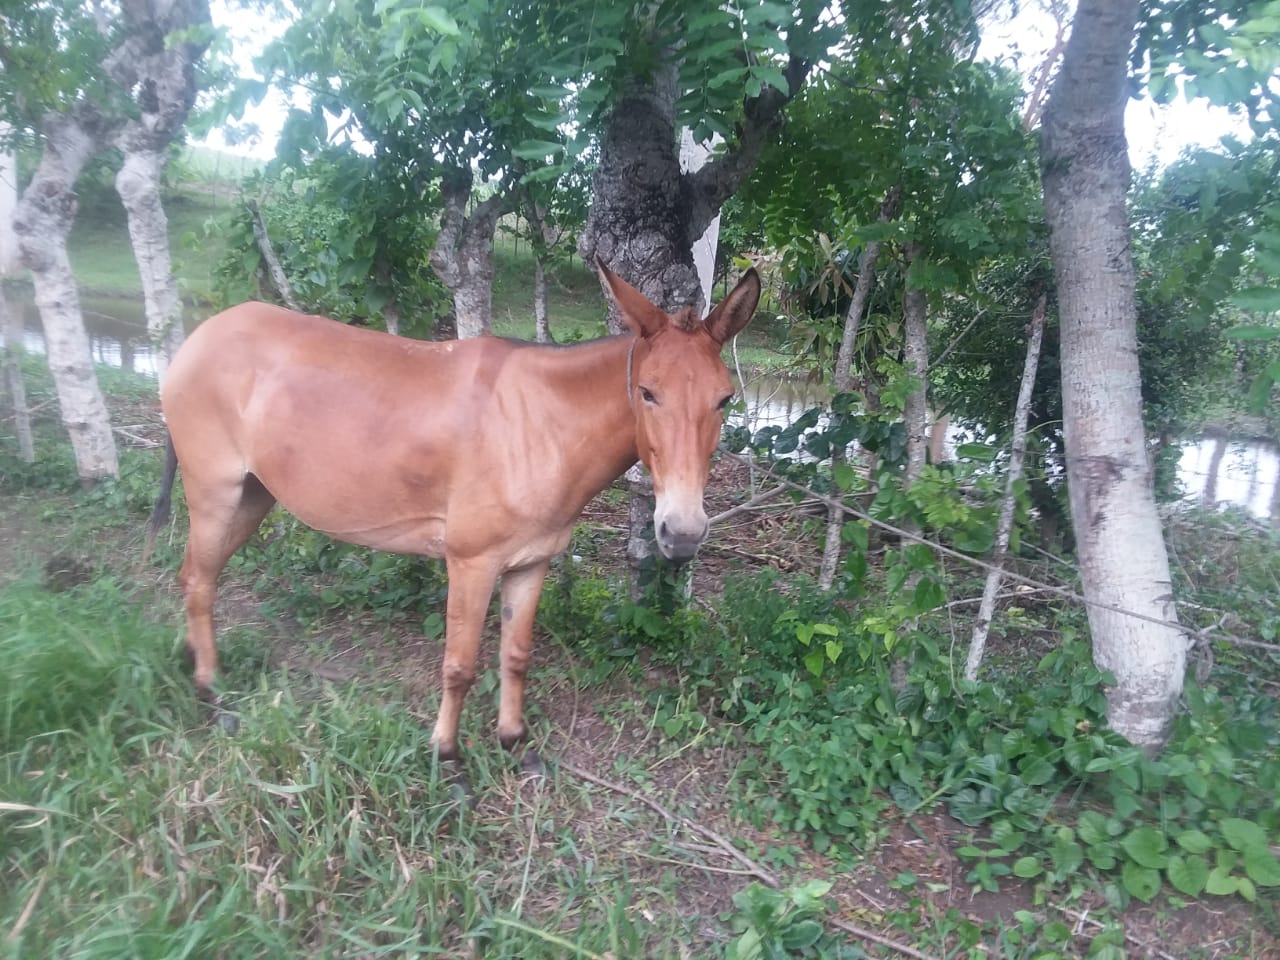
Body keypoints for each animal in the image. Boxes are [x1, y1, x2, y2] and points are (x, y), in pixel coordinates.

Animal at [147, 259, 759, 772]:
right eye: (648, 393)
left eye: (724, 400)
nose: (682, 534)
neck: (540, 427)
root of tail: (201, 336)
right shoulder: (471, 563)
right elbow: (459, 665)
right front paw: (446, 755)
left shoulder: (530, 563)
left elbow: (516, 654)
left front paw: (513, 740)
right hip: (215, 493)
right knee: (199, 580)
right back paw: (211, 690)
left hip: (253, 498)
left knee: (194, 576)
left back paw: (195, 663)